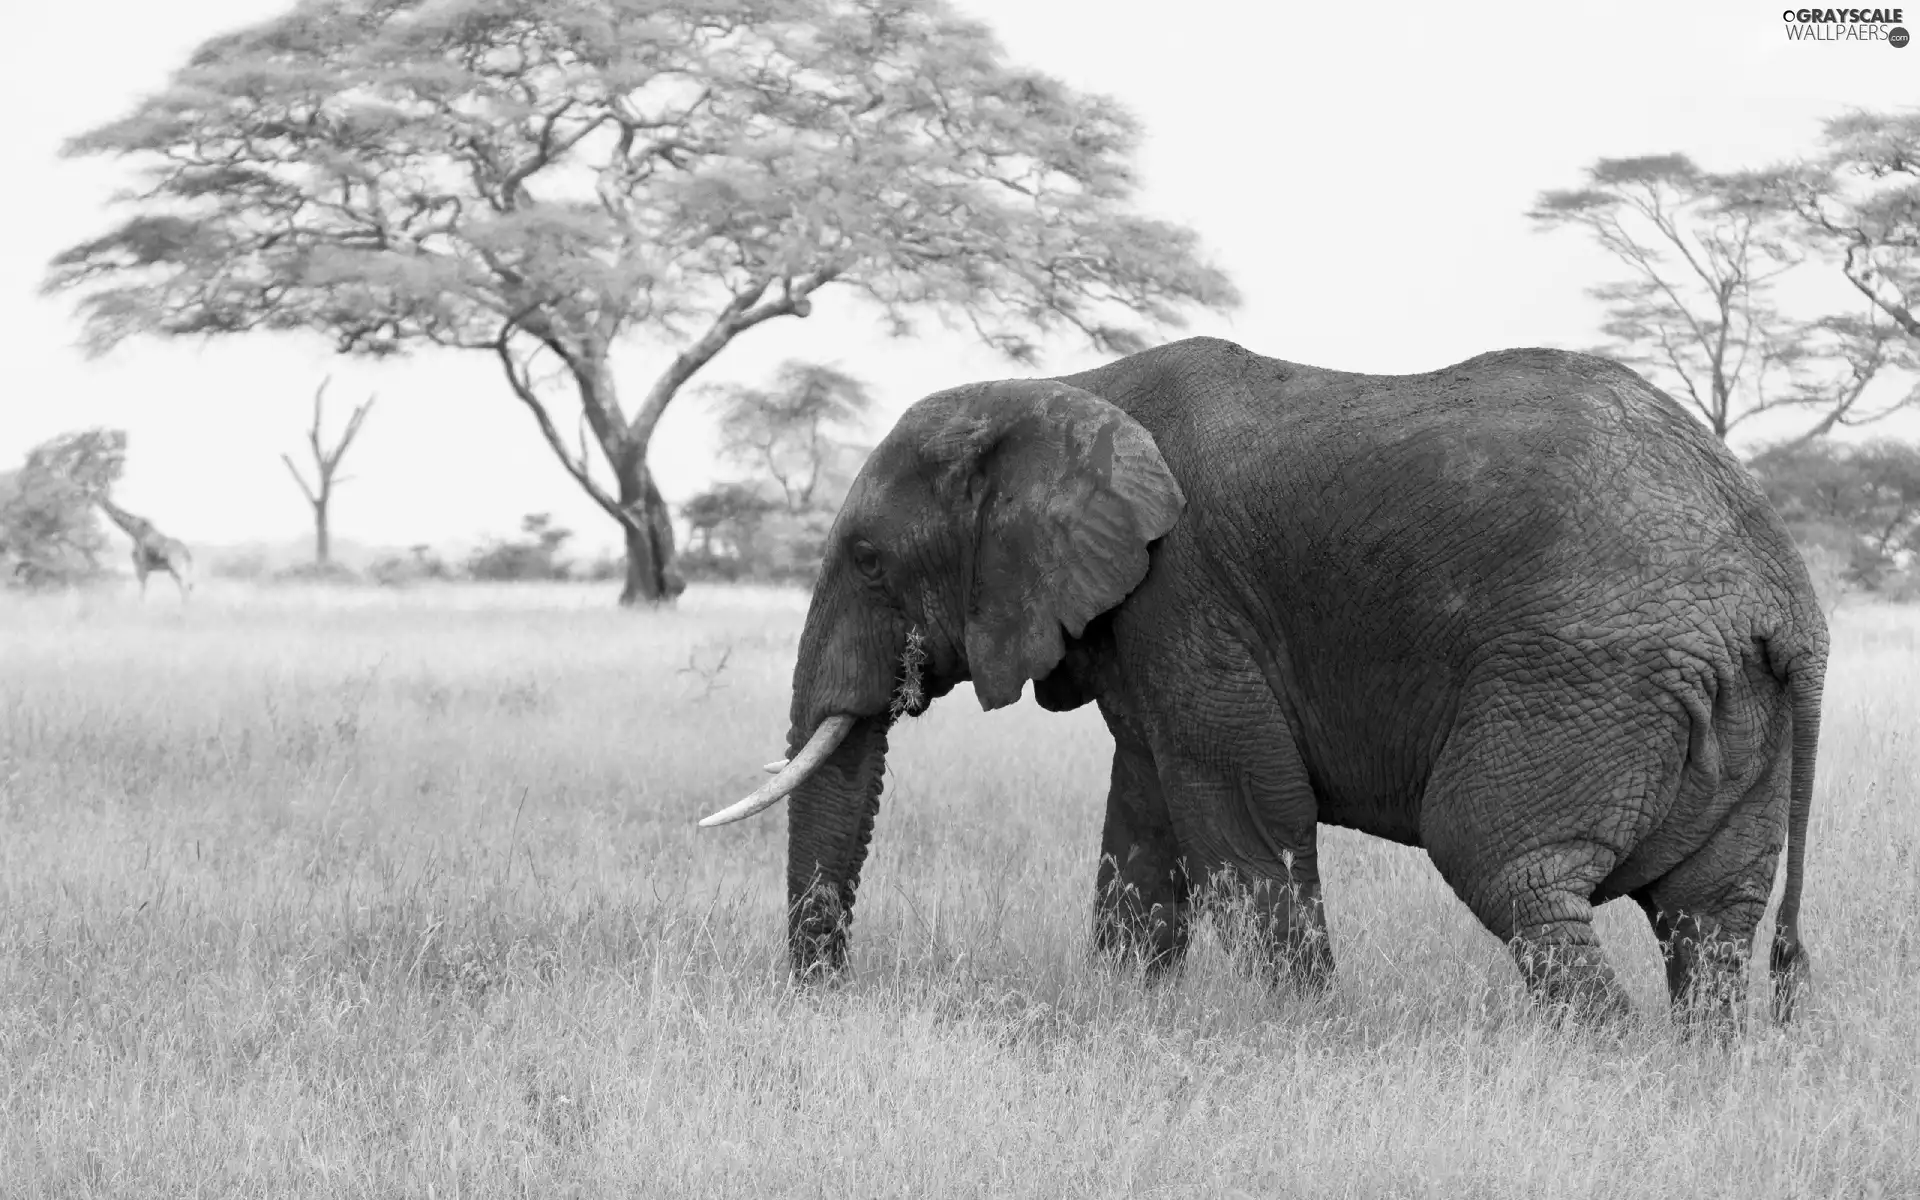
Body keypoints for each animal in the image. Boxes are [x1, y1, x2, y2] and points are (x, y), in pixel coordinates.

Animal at [702, 332, 1827, 1021]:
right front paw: (1130, 1014)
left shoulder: (1187, 592)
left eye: (868, 560)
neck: (1067, 390)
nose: (828, 999)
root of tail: (1787, 595)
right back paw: (1695, 1073)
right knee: (1709, 921)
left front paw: (1305, 1032)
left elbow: (1246, 815)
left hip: (1586, 677)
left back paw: (1604, 1063)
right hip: (1729, 709)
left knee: (1508, 865)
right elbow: (1146, 821)